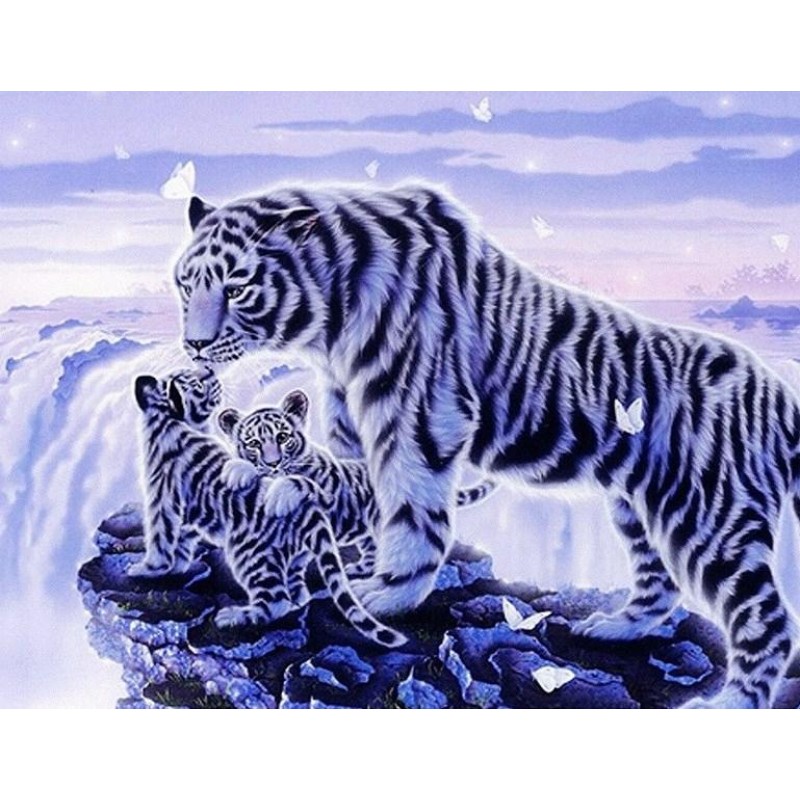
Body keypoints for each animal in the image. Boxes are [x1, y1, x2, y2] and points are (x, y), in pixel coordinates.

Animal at [129, 367, 406, 648]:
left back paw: (233, 616)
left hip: (249, 554)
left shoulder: (161, 496)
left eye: (282, 437)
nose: (210, 373)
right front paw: (177, 566)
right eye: (196, 383)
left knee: (276, 601)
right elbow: (183, 537)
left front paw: (148, 569)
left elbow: (160, 537)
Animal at [215, 388, 497, 578]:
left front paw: (280, 495)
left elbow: (302, 482)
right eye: (254, 443)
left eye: (283, 437)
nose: (273, 463)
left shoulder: (331, 494)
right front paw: (236, 471)